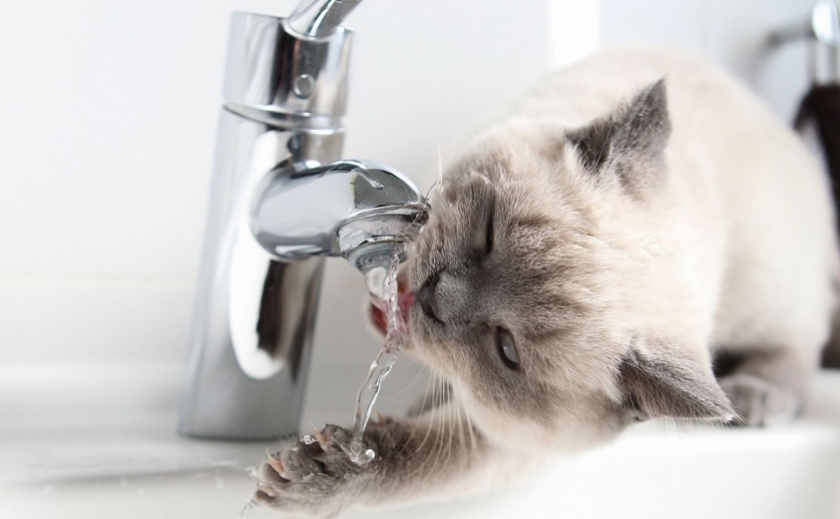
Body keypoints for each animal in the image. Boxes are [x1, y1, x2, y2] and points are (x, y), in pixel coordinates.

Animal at [253, 46, 839, 518]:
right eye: (488, 234)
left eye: (507, 349)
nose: (435, 297)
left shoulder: (511, 443)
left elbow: (413, 458)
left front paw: (317, 476)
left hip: (771, 291)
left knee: (796, 352)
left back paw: (752, 399)